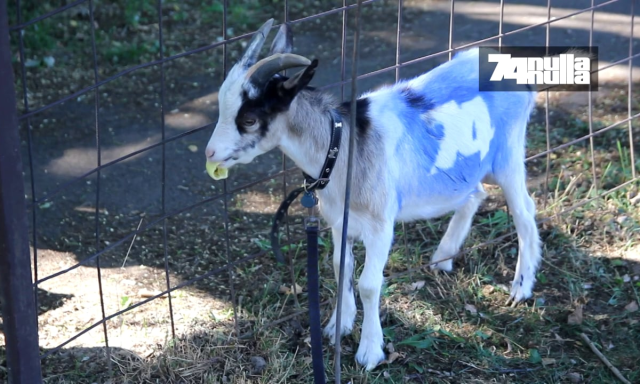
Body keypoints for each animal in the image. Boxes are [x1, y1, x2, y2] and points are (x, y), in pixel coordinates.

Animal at [204, 19, 540, 370]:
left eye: (249, 119)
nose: (210, 153)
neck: (343, 145)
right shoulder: (340, 221)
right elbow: (341, 267)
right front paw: (337, 327)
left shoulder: (380, 225)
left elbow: (368, 283)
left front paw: (369, 351)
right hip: (471, 167)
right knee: (474, 193)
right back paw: (443, 257)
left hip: (507, 155)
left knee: (524, 211)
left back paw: (520, 288)